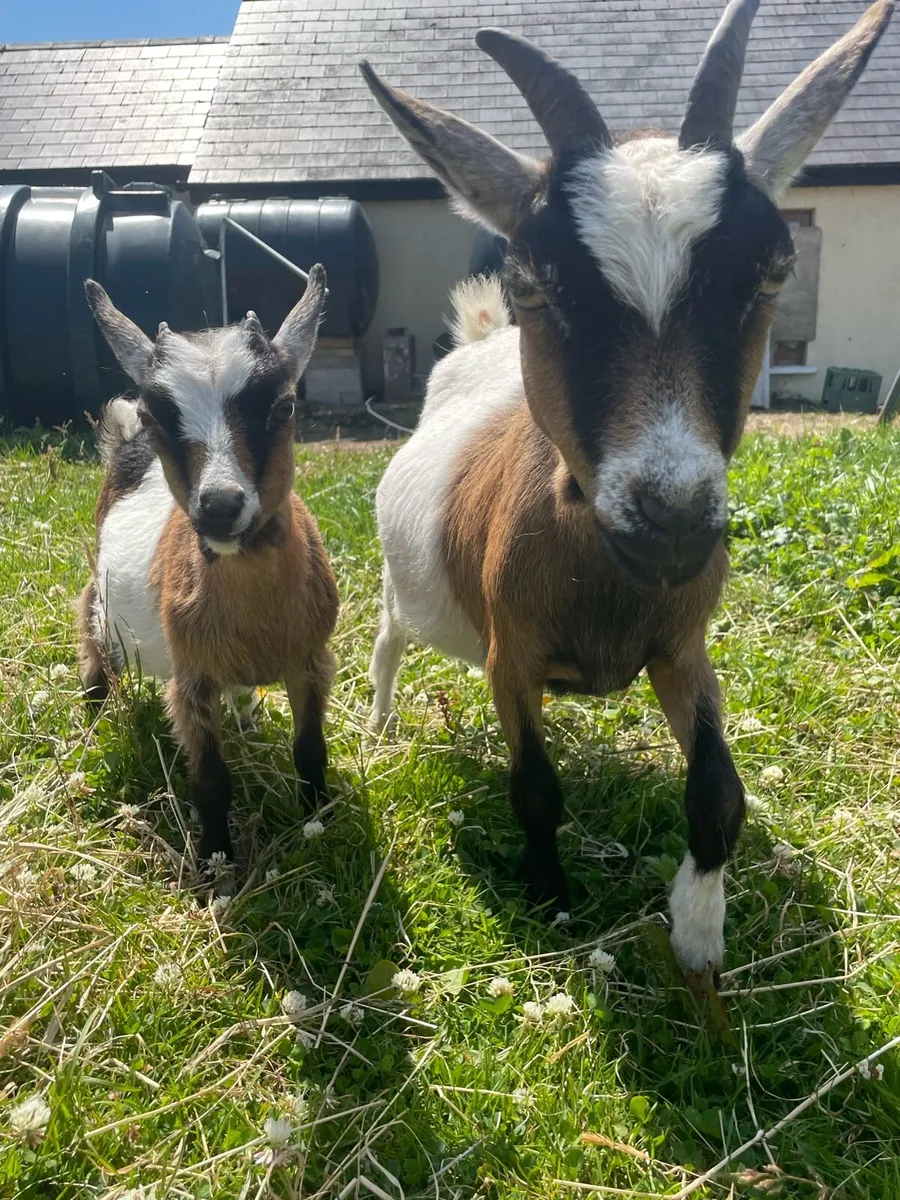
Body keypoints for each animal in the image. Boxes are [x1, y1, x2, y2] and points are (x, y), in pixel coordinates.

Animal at [77, 268, 339, 861]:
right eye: (155, 414)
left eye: (283, 407)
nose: (220, 506)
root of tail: (125, 448)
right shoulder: (191, 679)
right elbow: (211, 780)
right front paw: (217, 858)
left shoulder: (311, 659)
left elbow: (311, 751)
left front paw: (320, 822)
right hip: (97, 600)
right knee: (93, 654)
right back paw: (92, 718)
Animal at [361, 0, 892, 979]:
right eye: (534, 279)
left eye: (773, 269)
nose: (671, 522)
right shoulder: (510, 656)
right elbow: (534, 787)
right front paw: (550, 896)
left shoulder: (682, 645)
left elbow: (720, 791)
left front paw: (699, 933)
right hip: (397, 584)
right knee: (385, 641)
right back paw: (377, 726)